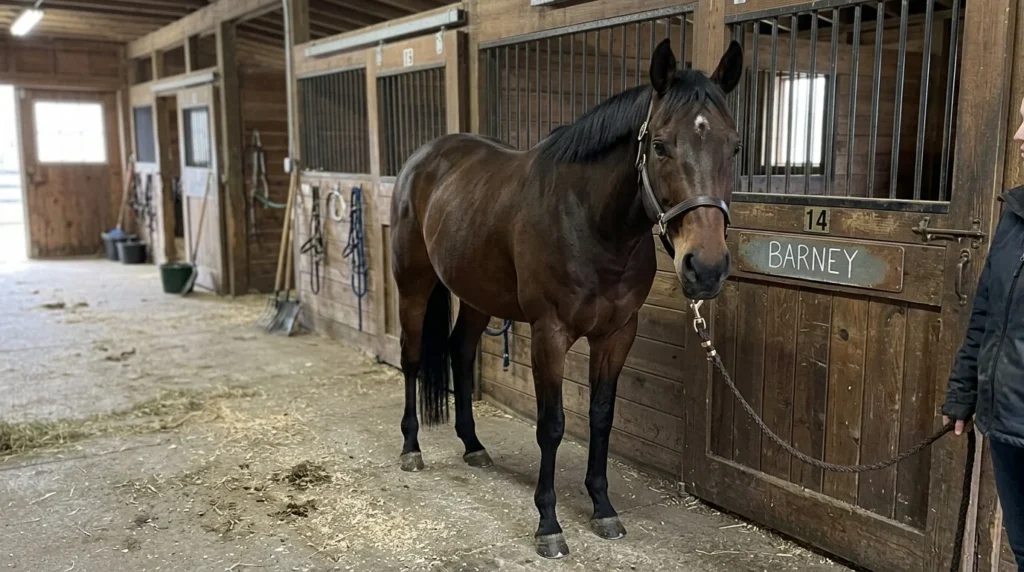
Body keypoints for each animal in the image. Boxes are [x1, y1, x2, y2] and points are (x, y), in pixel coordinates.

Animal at [389, 38, 743, 558]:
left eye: (734, 146)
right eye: (659, 145)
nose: (707, 268)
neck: (590, 222)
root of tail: (424, 157)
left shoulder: (617, 333)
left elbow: (600, 417)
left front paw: (602, 508)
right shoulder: (549, 334)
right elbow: (552, 425)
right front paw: (548, 524)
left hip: (476, 294)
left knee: (459, 350)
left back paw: (473, 445)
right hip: (413, 284)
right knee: (412, 358)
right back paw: (411, 448)